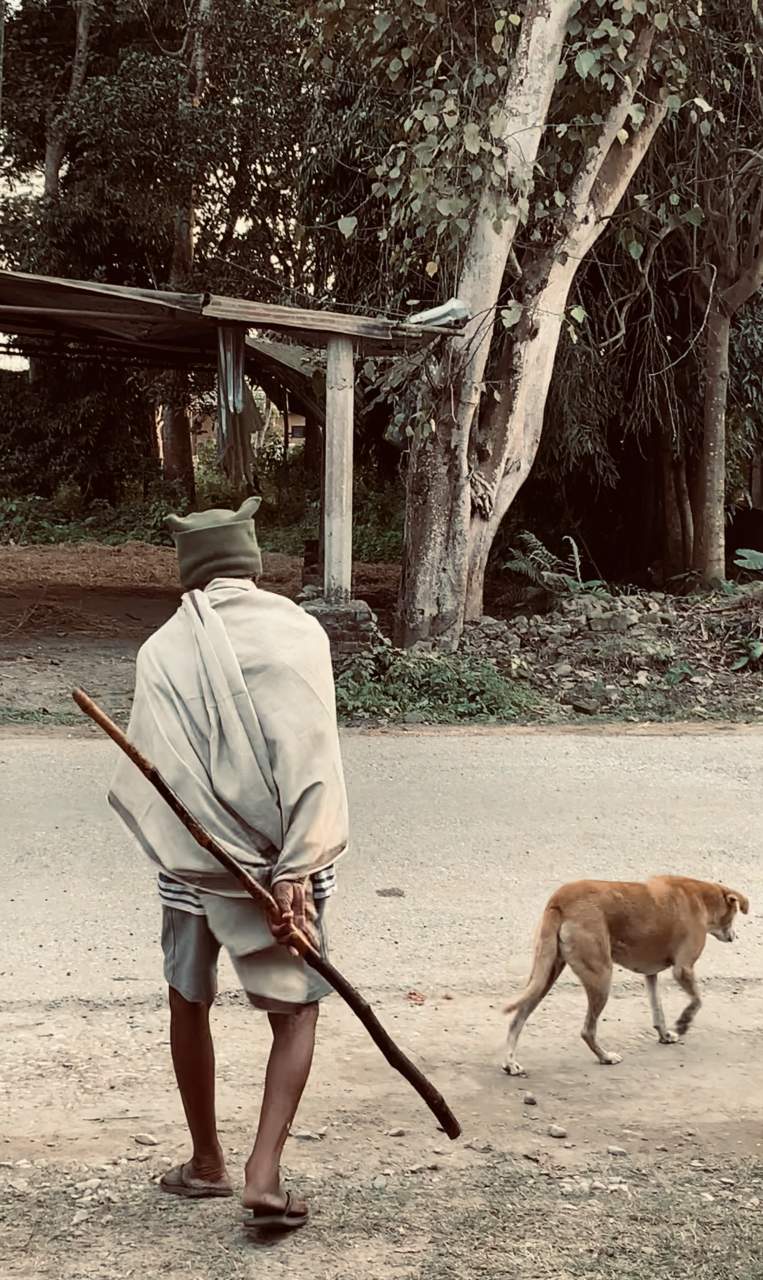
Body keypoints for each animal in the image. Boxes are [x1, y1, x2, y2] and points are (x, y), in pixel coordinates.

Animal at [503, 876, 749, 1075]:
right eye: (735, 915)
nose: (735, 937)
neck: (701, 897)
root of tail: (560, 899)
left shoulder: (651, 974)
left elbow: (658, 1011)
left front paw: (665, 1035)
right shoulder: (683, 968)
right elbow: (697, 1000)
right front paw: (683, 1022)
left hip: (545, 973)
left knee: (518, 1018)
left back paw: (510, 1062)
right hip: (601, 975)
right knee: (587, 1030)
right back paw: (605, 1057)